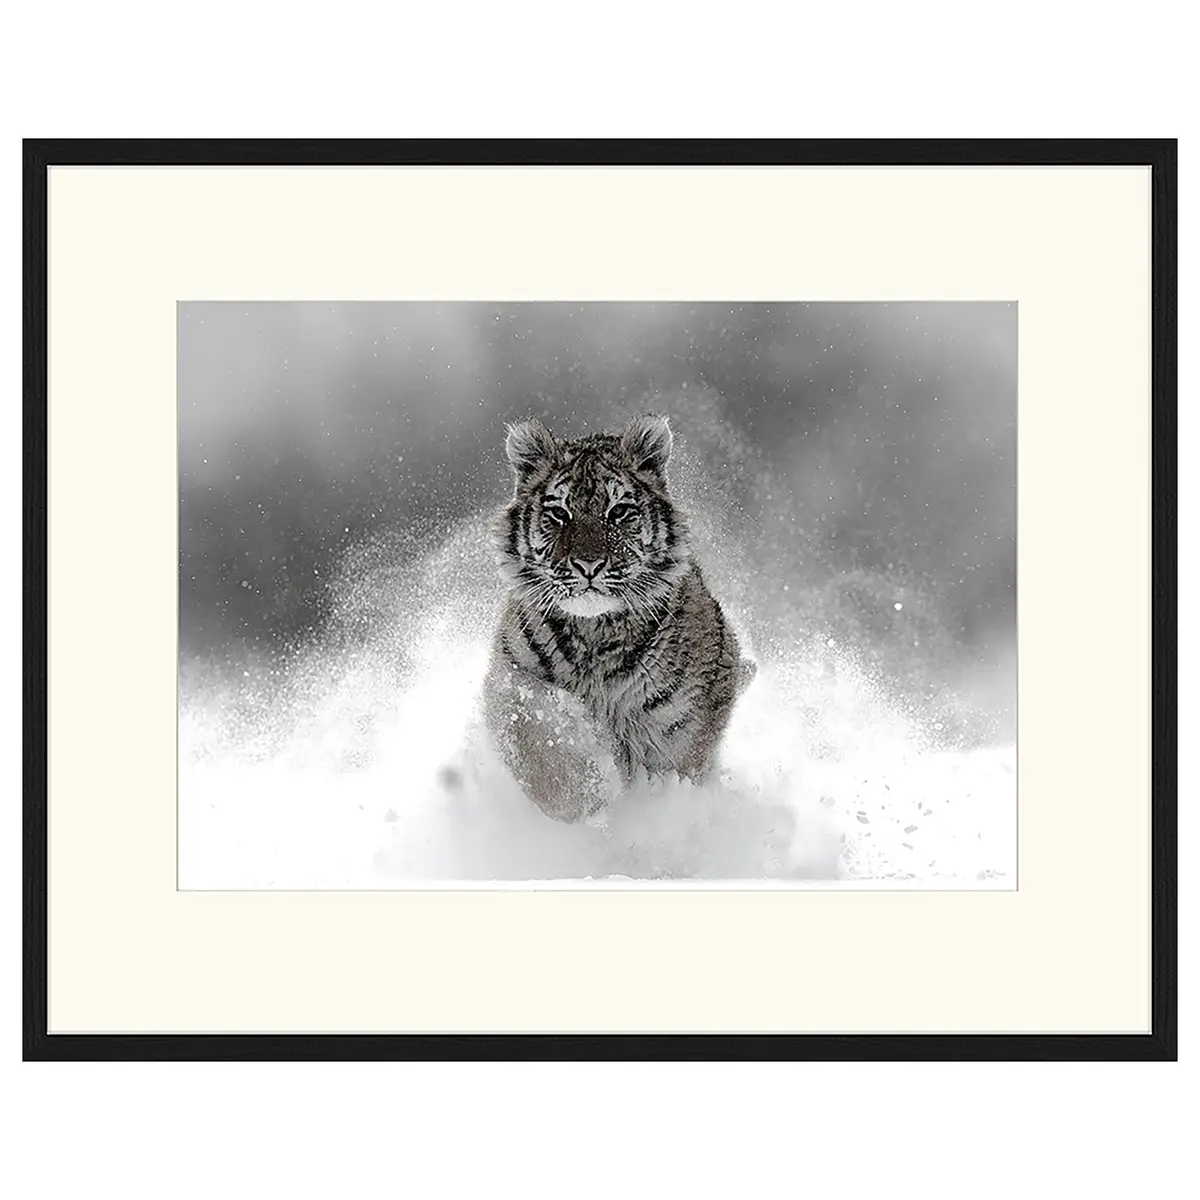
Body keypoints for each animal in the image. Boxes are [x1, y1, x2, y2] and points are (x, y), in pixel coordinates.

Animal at [482, 413, 756, 822]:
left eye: (618, 511)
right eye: (559, 513)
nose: (588, 565)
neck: (594, 633)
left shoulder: (683, 727)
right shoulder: (510, 679)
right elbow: (541, 740)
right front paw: (591, 793)